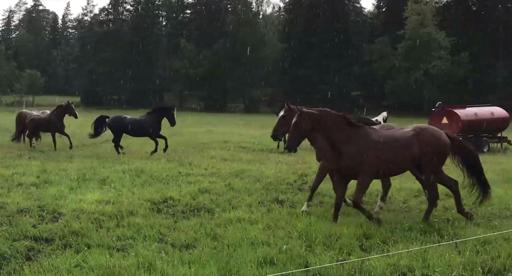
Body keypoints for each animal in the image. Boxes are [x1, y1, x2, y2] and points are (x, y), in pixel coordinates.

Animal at [286, 108, 490, 224]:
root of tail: (443, 133)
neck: (349, 141)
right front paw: (334, 224)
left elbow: (356, 201)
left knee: (434, 194)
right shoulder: (343, 177)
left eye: (296, 124)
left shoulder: (365, 176)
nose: (288, 146)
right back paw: (466, 214)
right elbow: (338, 201)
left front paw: (376, 220)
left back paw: (424, 221)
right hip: (430, 171)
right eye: (291, 123)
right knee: (452, 185)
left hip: (429, 171)